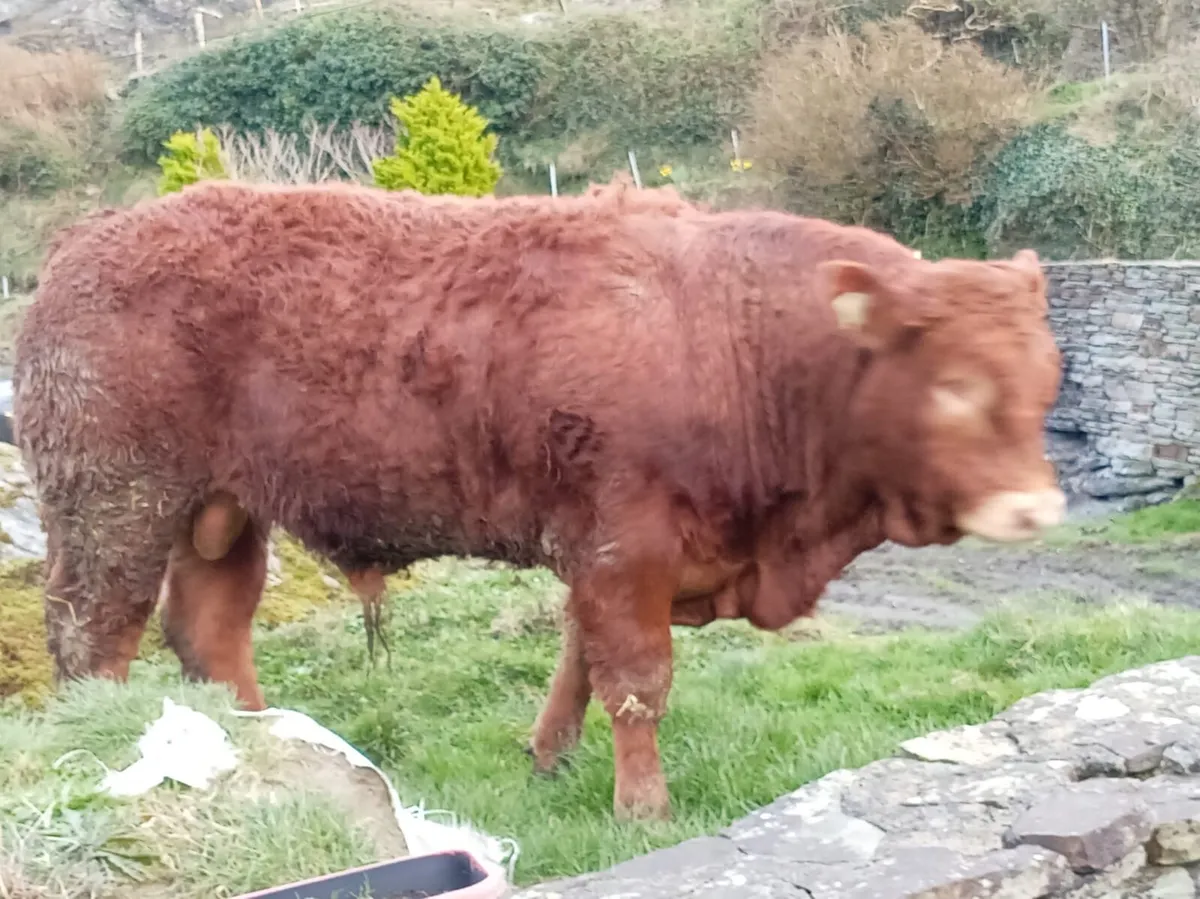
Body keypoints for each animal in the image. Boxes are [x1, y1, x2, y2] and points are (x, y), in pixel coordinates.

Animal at [14, 176, 1065, 822]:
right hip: (115, 508)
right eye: (955, 385)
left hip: (223, 515)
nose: (1037, 510)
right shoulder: (623, 546)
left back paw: (266, 744)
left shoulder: (602, 553)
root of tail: (86, 240)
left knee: (209, 631)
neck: (731, 334)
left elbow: (578, 660)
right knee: (92, 636)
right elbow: (636, 680)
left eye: (1047, 376)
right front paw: (643, 806)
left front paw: (551, 756)